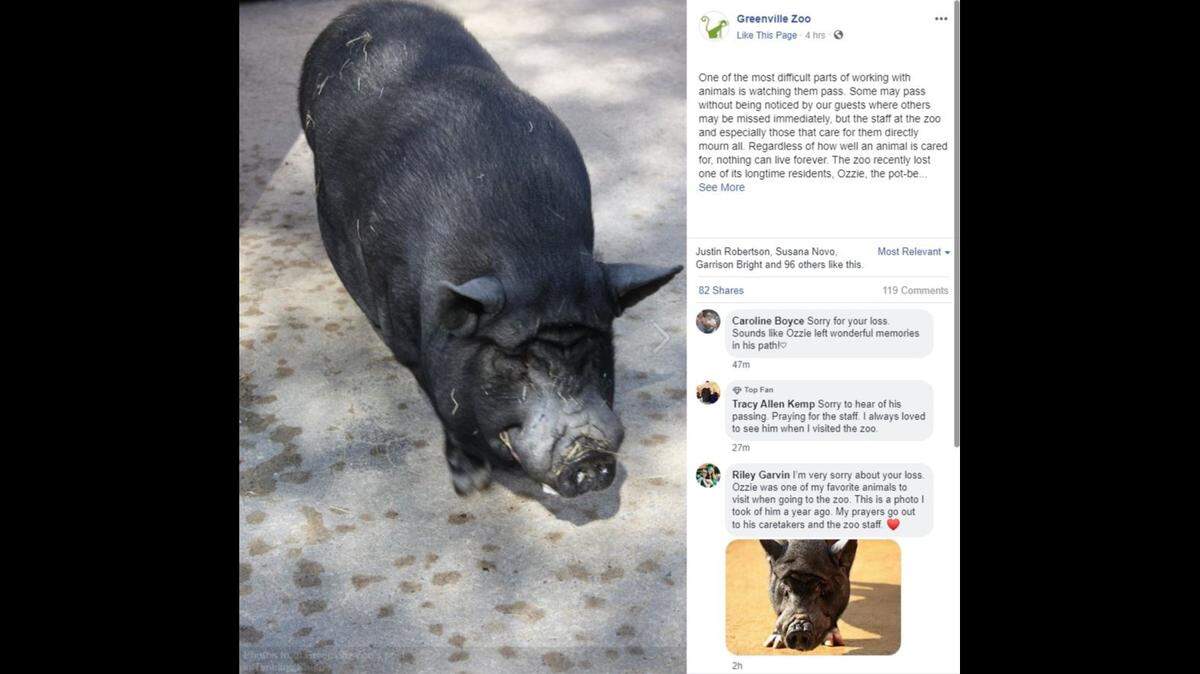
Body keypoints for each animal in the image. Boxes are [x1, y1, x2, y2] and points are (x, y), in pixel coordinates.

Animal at [298, 1, 681, 498]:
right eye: (518, 359)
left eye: (594, 347)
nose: (591, 455)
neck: (536, 255)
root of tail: (358, 13)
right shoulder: (405, 326)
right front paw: (471, 483)